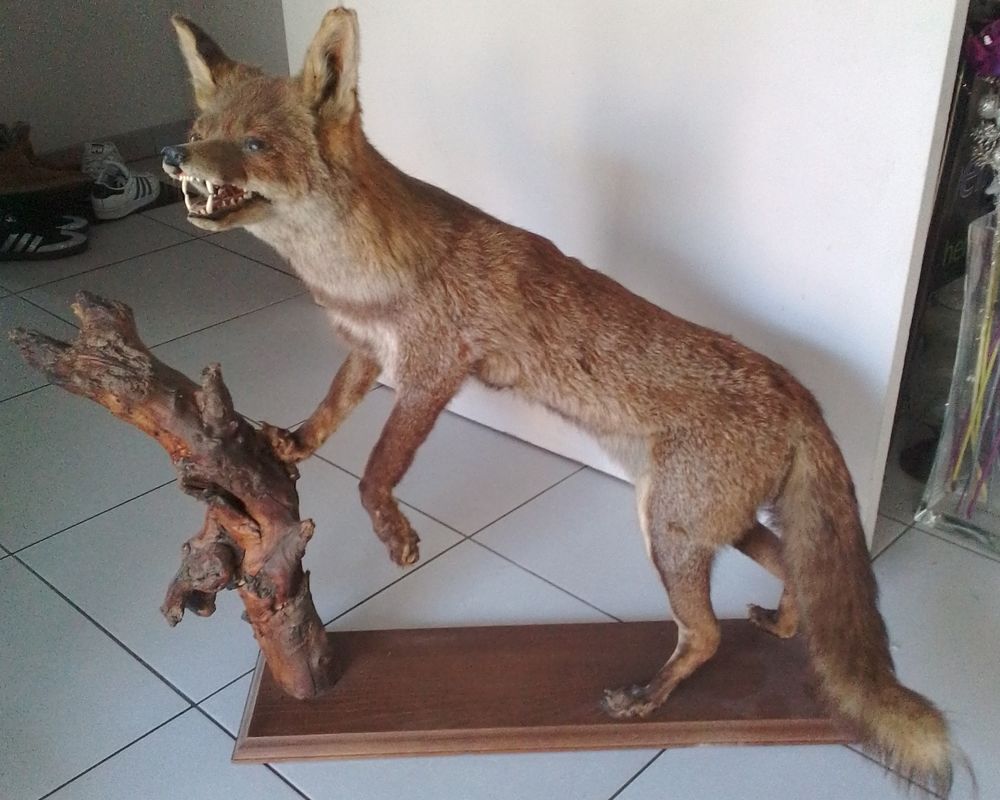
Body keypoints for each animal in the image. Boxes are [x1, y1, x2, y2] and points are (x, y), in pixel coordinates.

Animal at [164, 7, 955, 794]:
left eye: (255, 143)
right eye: (204, 131)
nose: (174, 156)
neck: (360, 275)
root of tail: (801, 393)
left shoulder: (432, 373)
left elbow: (375, 470)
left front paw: (394, 534)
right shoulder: (368, 353)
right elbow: (329, 410)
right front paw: (294, 441)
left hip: (668, 531)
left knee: (706, 633)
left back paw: (649, 697)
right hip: (704, 525)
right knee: (792, 570)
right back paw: (783, 628)